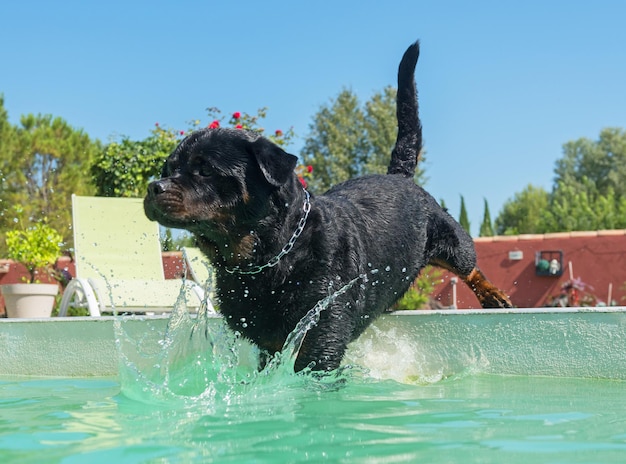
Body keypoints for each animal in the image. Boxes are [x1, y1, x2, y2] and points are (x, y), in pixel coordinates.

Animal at [145, 41, 512, 372]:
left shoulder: (323, 326)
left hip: (445, 234)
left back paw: (493, 295)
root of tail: (398, 176)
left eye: (205, 169)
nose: (154, 186)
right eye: (167, 169)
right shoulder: (265, 341)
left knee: (468, 264)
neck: (272, 255)